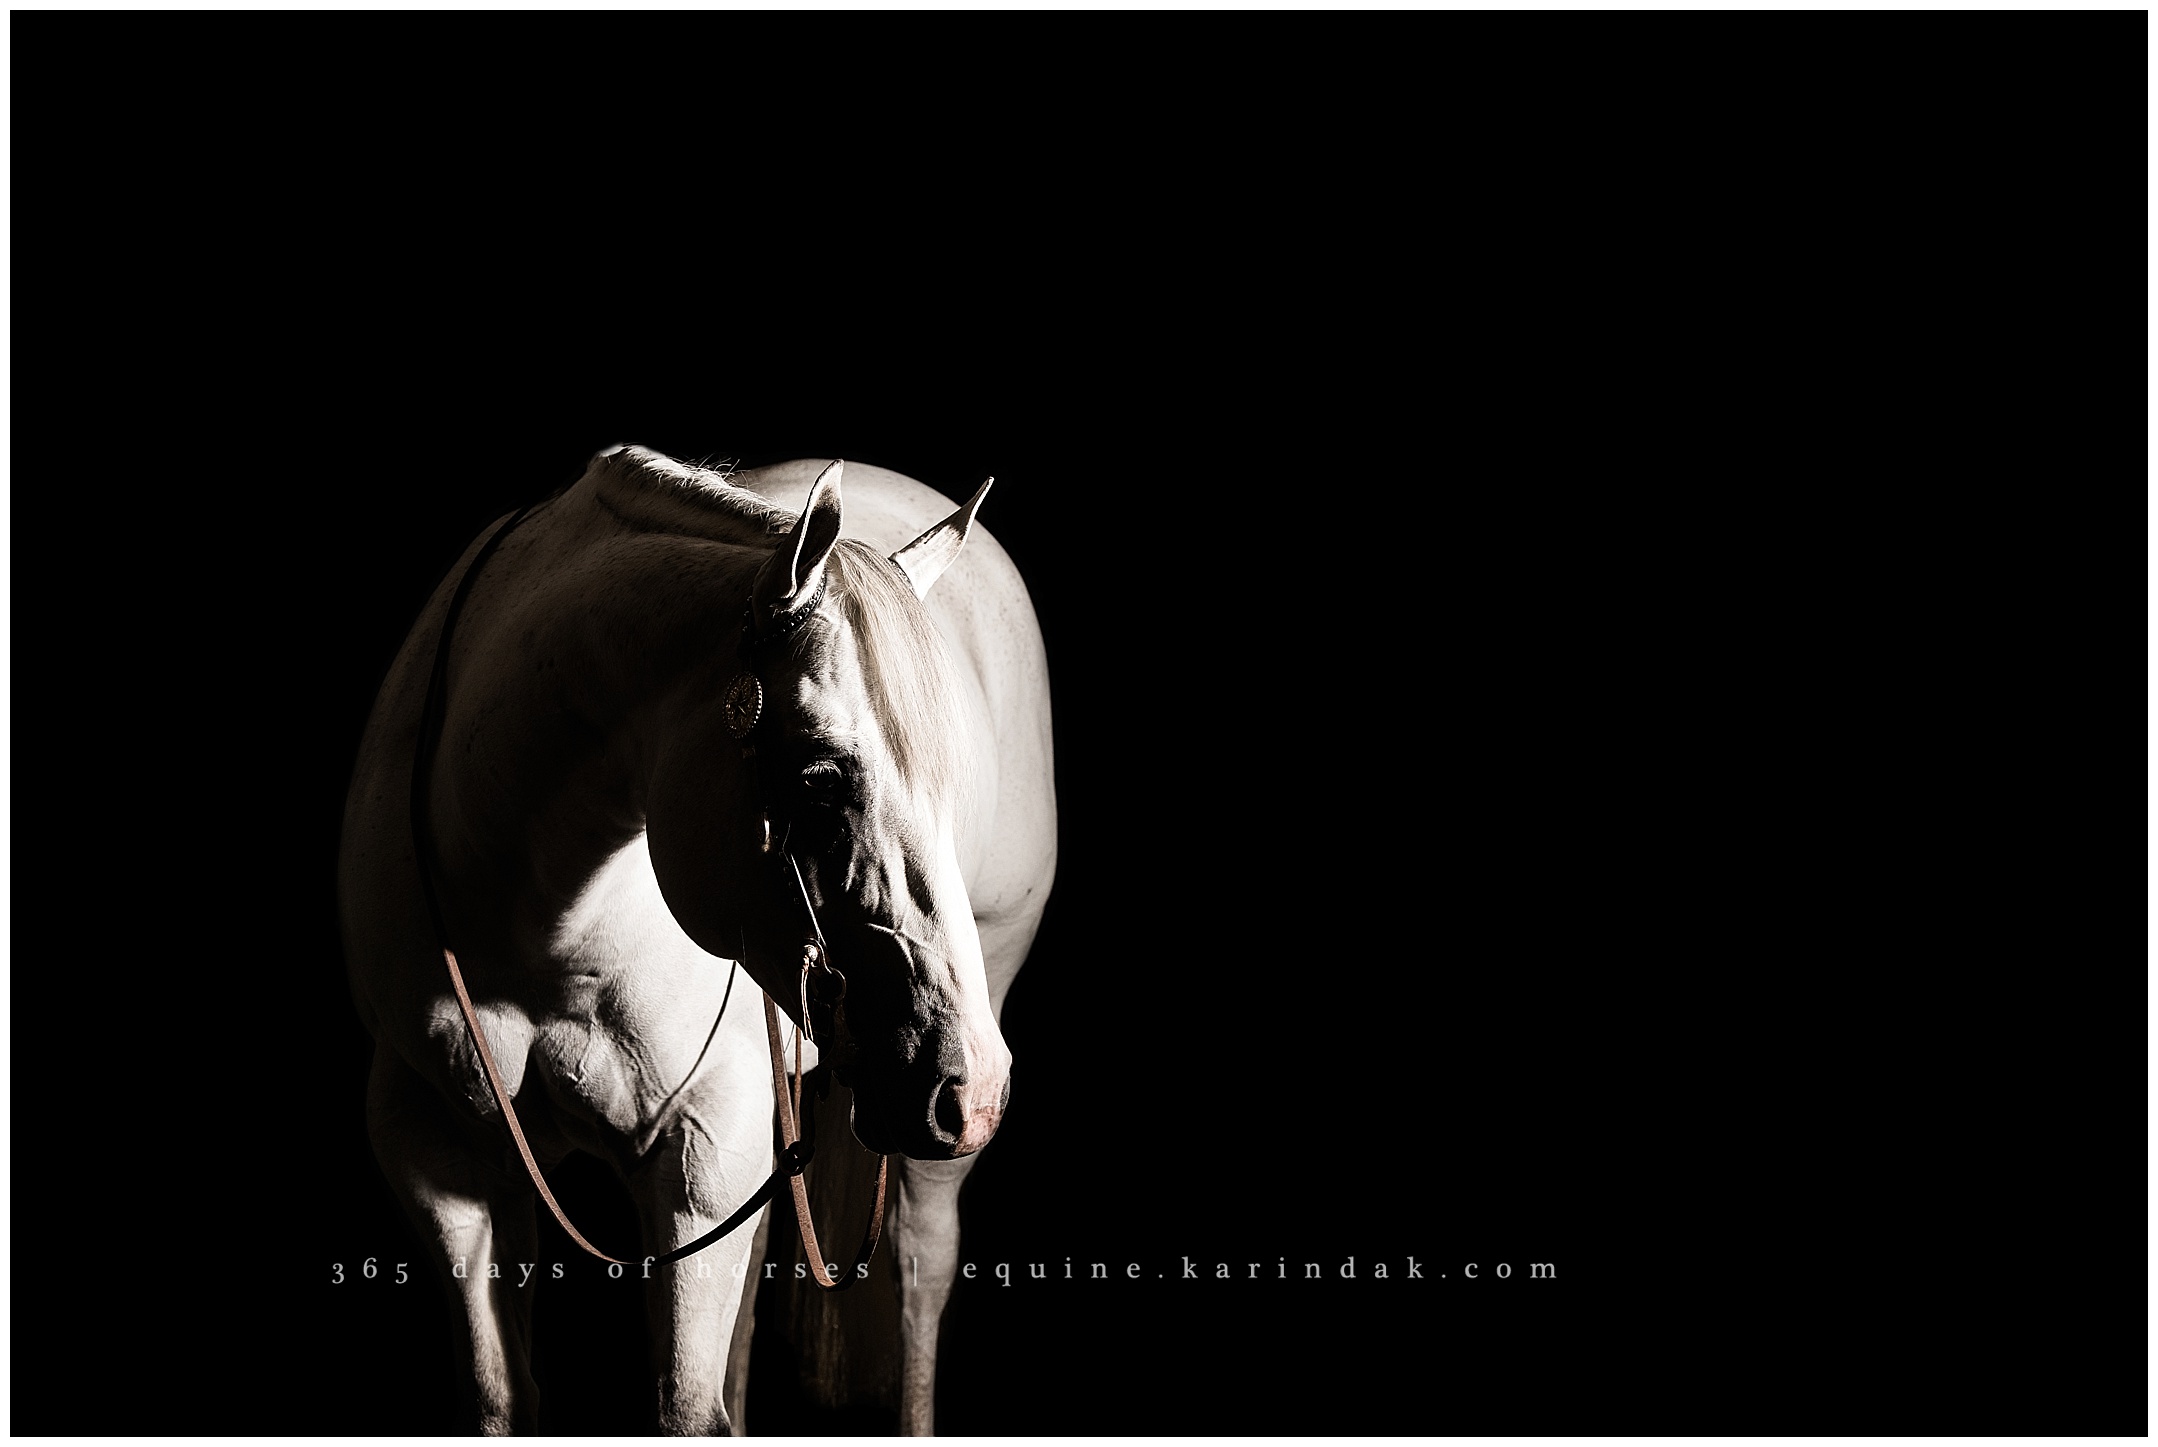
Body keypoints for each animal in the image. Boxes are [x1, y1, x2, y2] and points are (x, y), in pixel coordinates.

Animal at [338, 444, 1057, 1435]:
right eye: (819, 778)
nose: (969, 1088)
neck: (536, 927)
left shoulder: (701, 1152)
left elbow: (685, 1409)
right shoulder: (438, 1156)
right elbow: (499, 1400)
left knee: (920, 1270)